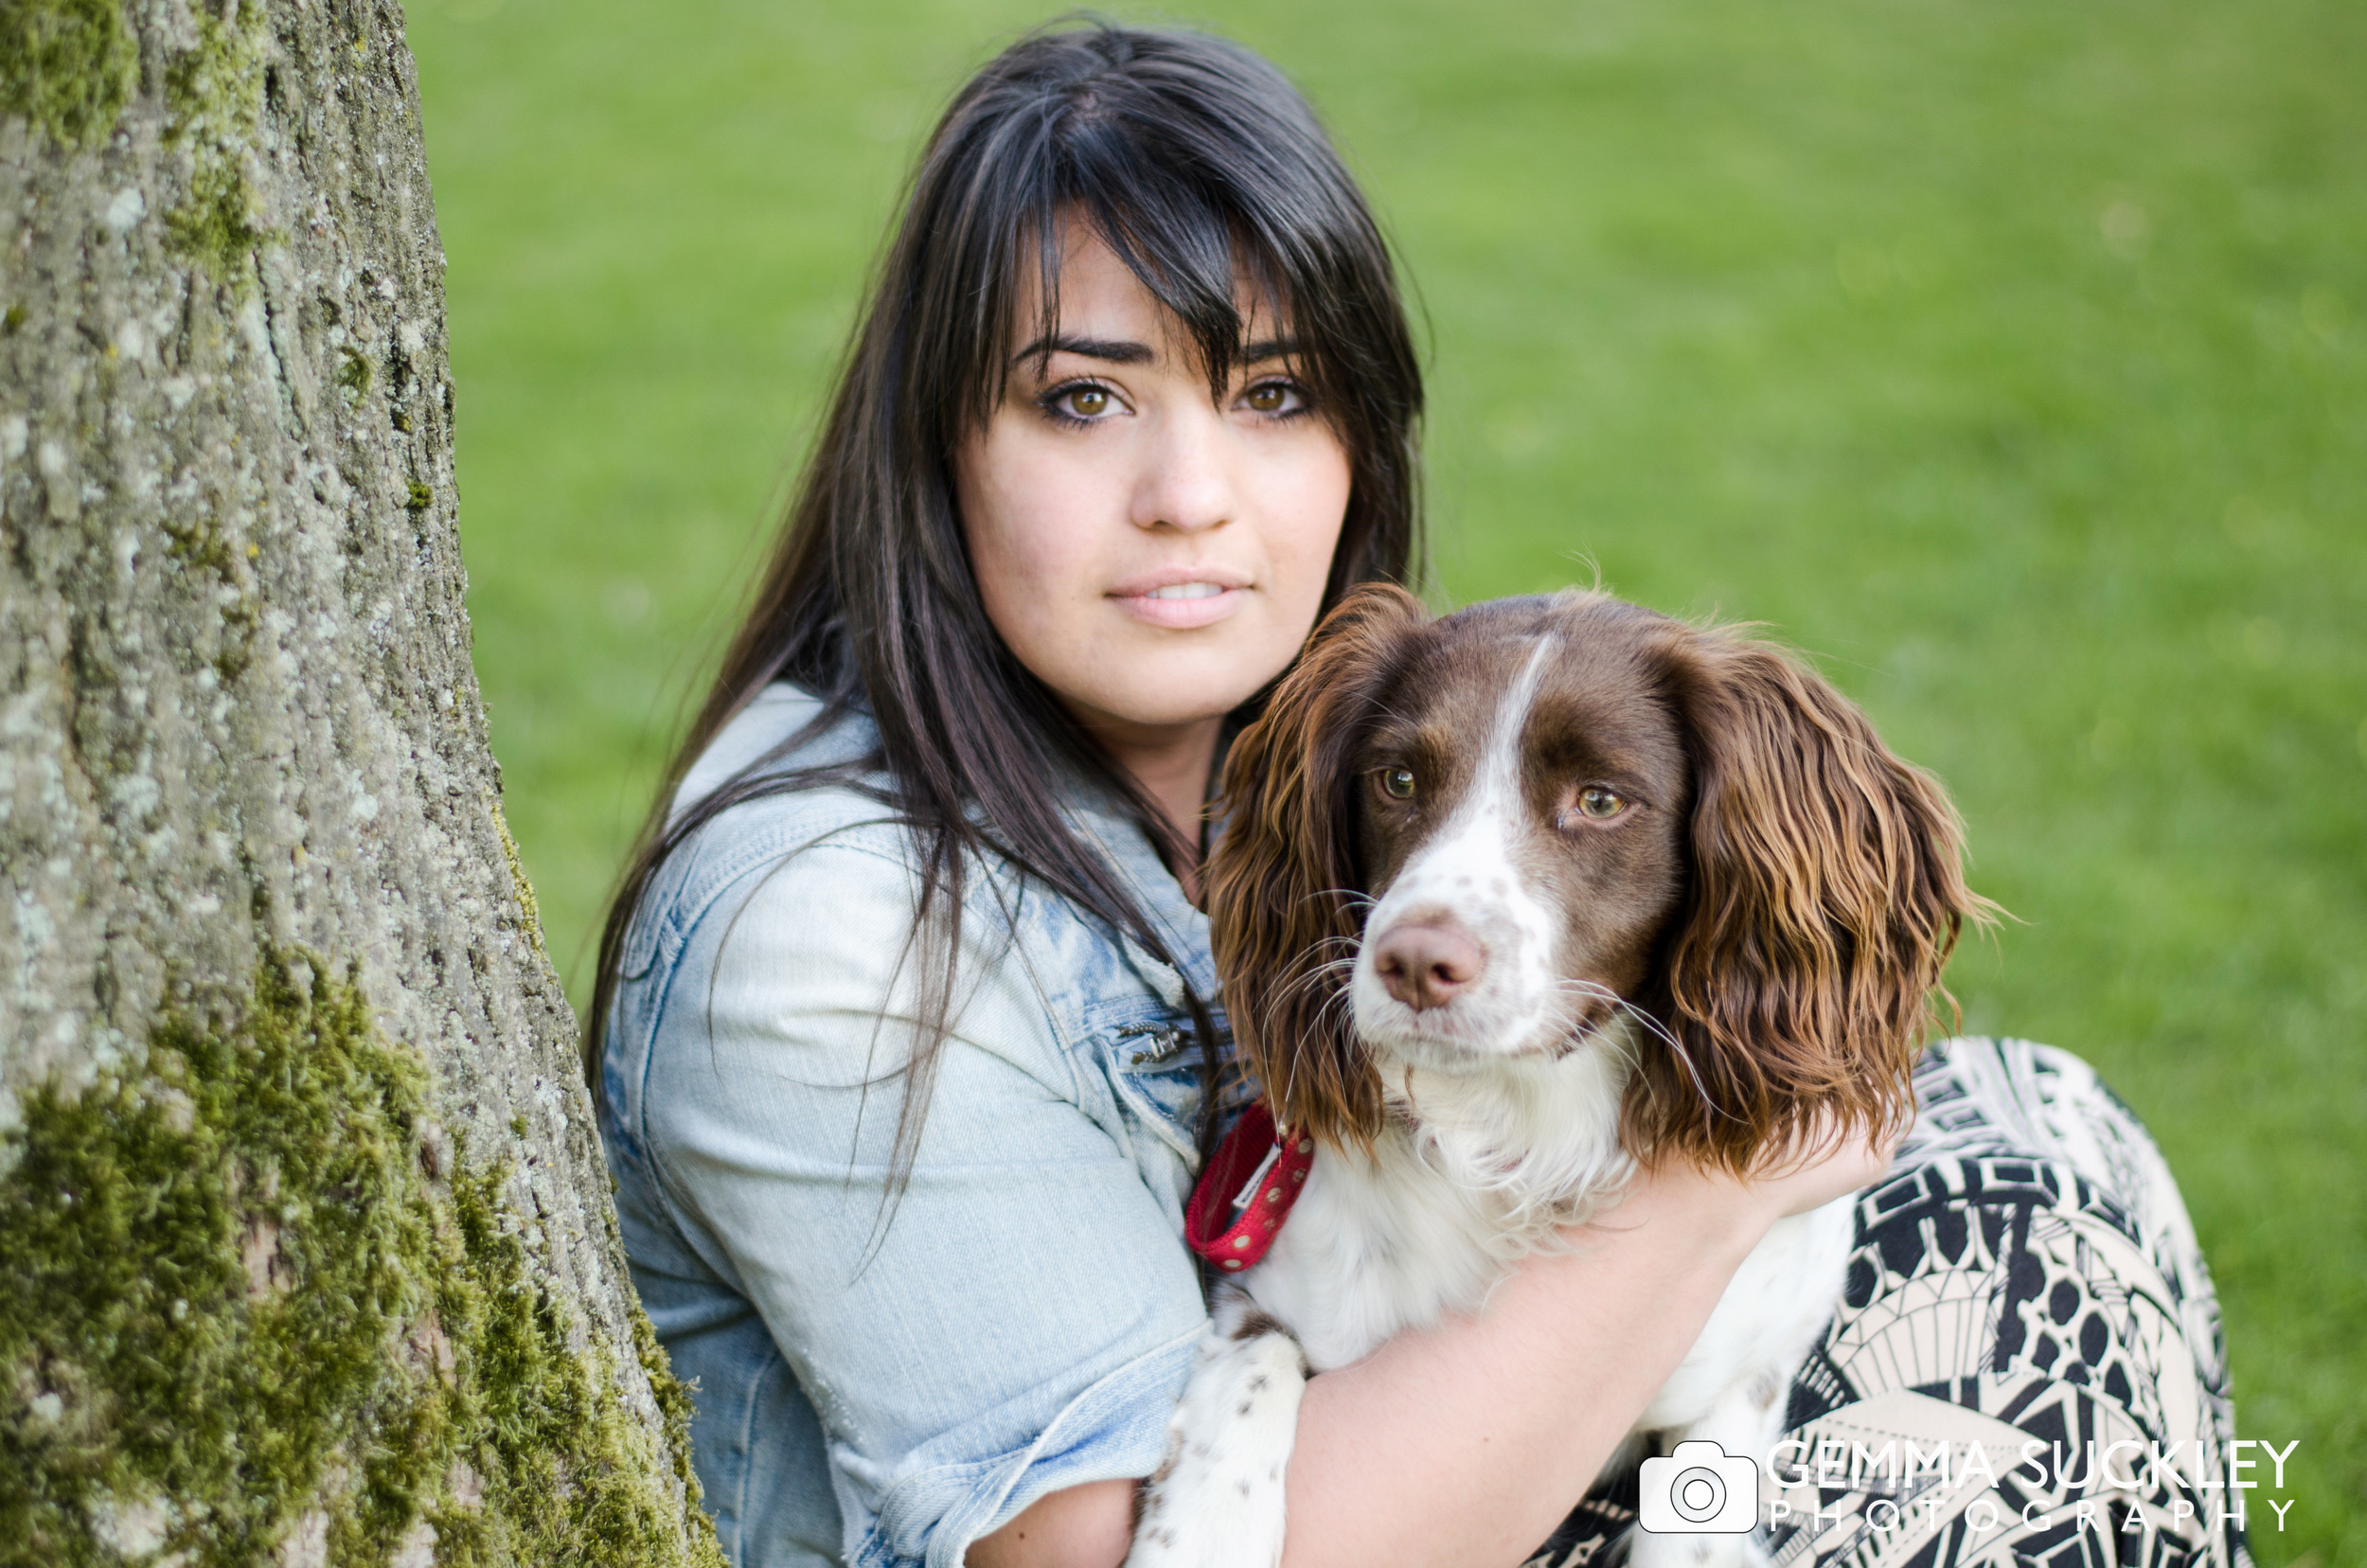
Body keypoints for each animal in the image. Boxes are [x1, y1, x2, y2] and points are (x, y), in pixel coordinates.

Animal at [1136, 587, 1988, 1568]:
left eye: (1601, 800)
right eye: (1398, 781)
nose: (1413, 963)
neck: (1519, 1129)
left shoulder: (1745, 1373)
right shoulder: (1268, 1281)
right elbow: (1254, 1365)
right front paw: (1202, 1530)